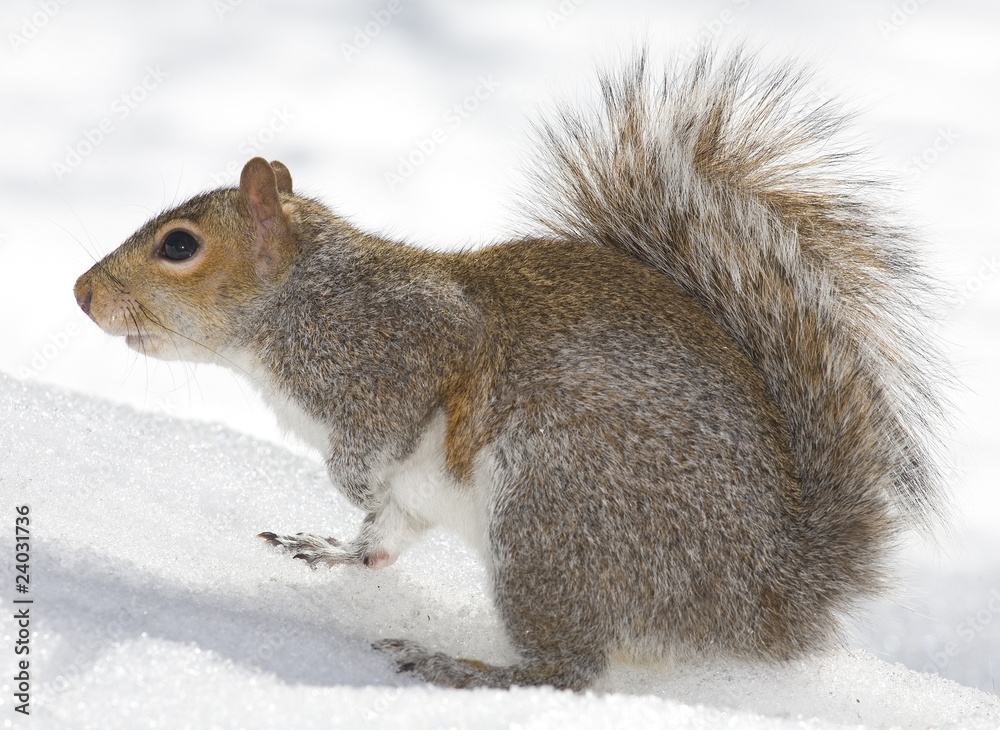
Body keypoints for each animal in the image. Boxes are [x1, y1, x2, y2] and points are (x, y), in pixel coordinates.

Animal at [73, 48, 946, 691]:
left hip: (552, 517)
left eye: (179, 246)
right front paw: (335, 538)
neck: (299, 300)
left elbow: (379, 437)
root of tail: (766, 599)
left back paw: (462, 670)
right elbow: (383, 523)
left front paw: (350, 480)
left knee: (569, 670)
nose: (82, 294)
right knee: (396, 551)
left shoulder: (397, 349)